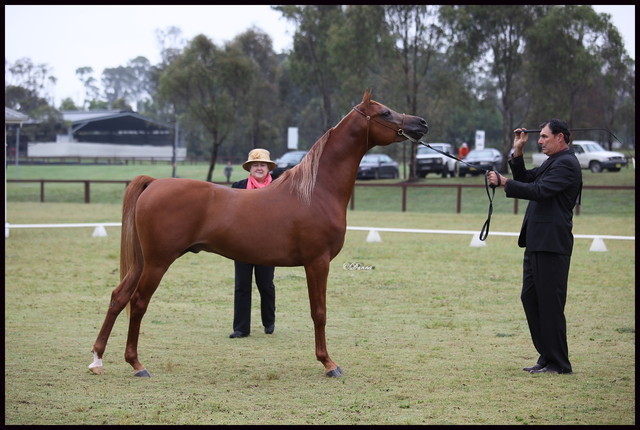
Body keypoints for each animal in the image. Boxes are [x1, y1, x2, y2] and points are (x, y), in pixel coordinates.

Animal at [88, 89, 428, 378]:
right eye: (385, 112)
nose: (421, 124)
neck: (315, 191)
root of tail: (155, 182)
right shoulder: (317, 263)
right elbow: (319, 312)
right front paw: (329, 363)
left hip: (142, 261)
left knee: (119, 297)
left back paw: (97, 359)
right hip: (158, 262)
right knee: (138, 302)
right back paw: (137, 364)